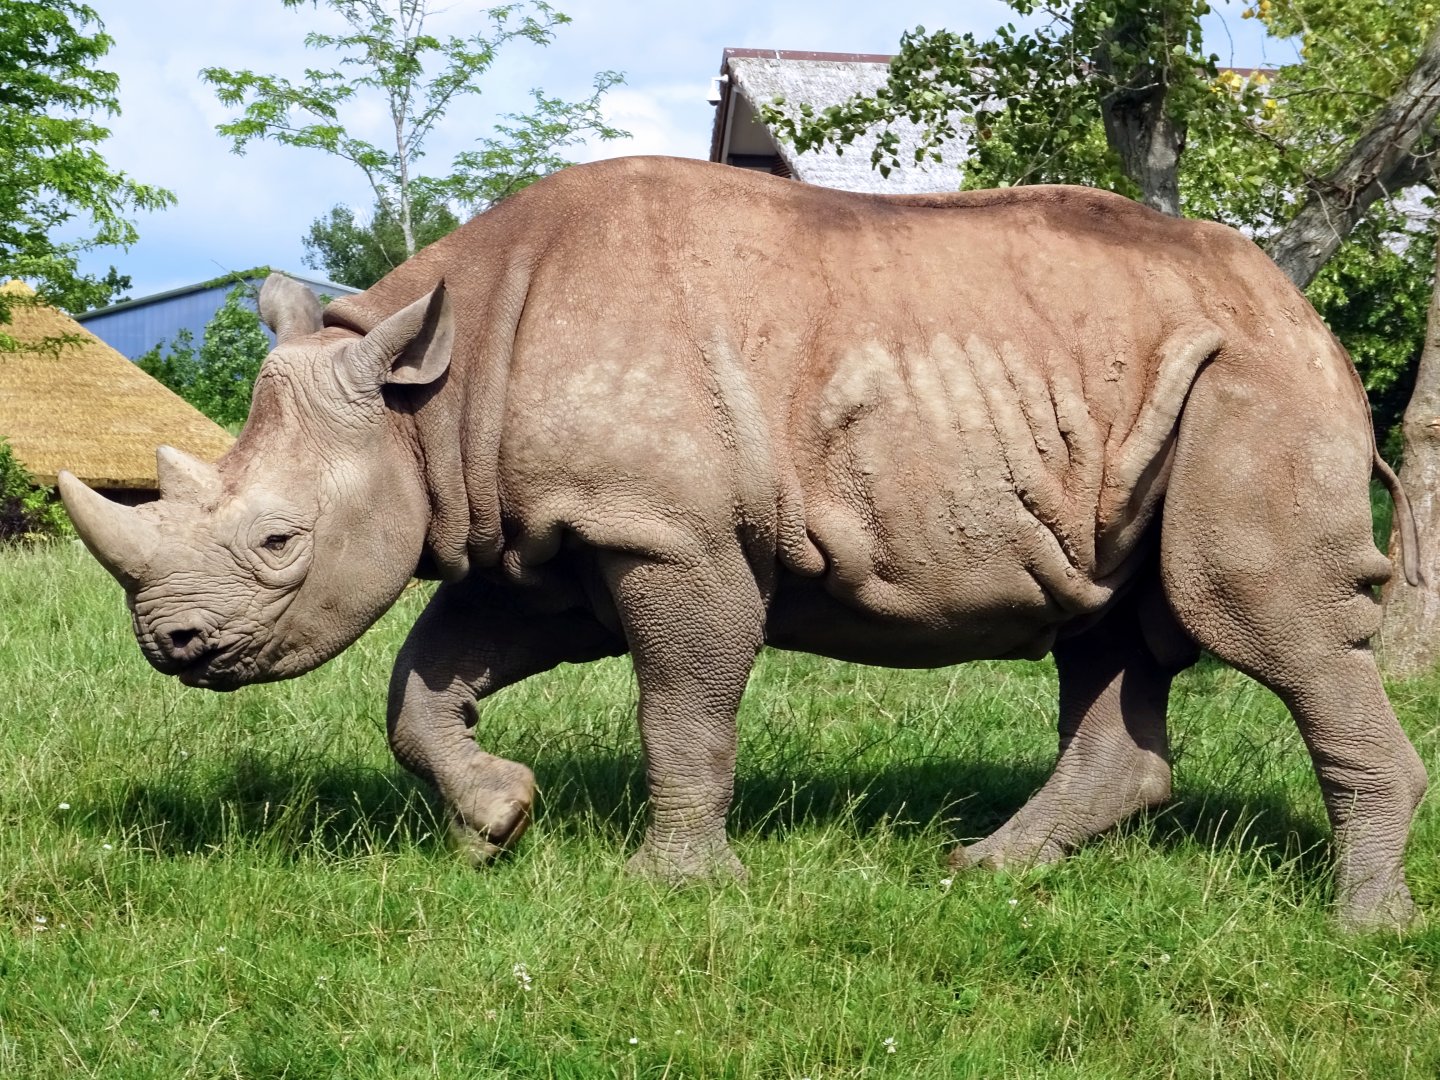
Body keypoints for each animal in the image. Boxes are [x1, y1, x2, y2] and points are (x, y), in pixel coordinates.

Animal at [60, 156, 1426, 929]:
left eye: (279, 538)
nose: (171, 644)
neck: (429, 399)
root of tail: (1305, 312)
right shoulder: (543, 540)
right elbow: (421, 684)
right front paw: (499, 822)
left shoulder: (667, 533)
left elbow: (683, 706)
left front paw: (672, 891)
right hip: (1148, 393)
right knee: (1108, 625)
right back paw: (984, 873)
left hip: (1252, 381)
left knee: (1258, 615)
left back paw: (1364, 929)